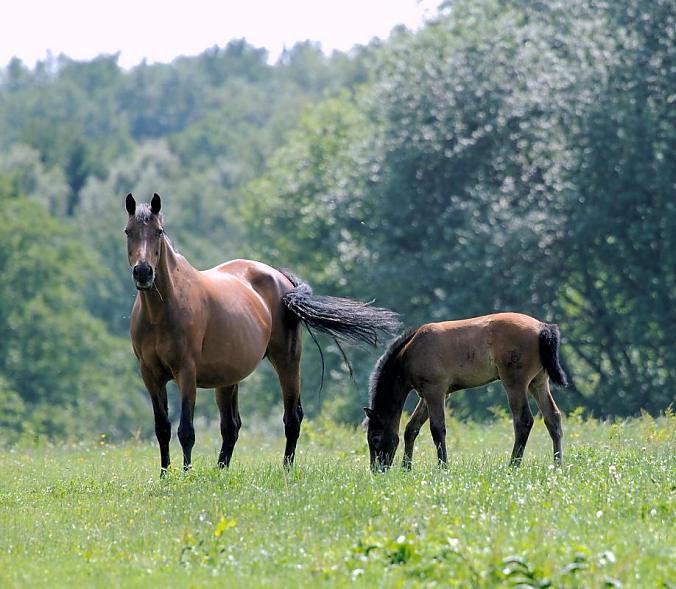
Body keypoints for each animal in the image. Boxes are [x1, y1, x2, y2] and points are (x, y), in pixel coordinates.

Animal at [124, 195, 398, 476]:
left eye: (158, 232)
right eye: (128, 232)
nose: (143, 272)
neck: (161, 312)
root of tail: (282, 279)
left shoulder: (186, 372)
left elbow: (186, 431)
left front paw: (186, 475)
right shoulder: (150, 375)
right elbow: (163, 429)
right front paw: (164, 475)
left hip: (287, 361)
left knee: (292, 418)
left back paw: (286, 469)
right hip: (228, 377)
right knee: (231, 427)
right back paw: (221, 471)